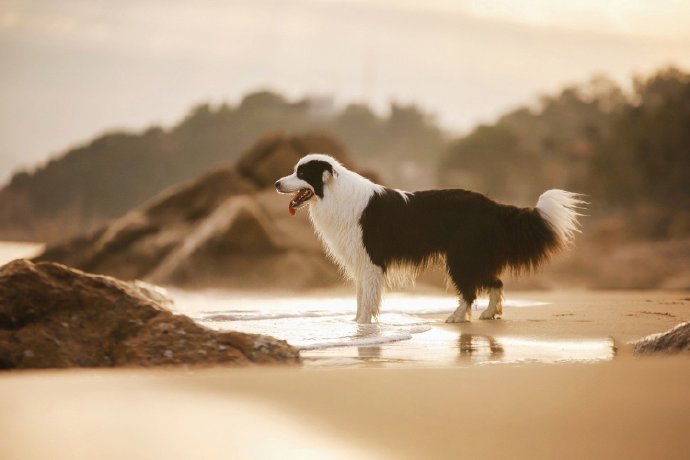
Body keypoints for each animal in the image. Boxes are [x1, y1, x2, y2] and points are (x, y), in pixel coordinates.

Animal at [274, 155, 580, 324]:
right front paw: (356, 323)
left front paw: (362, 326)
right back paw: (489, 313)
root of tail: (492, 205)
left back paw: (457, 317)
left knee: (471, 290)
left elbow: (368, 299)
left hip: (460, 257)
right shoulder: (361, 263)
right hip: (471, 257)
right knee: (496, 281)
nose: (276, 183)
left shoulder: (371, 261)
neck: (334, 192)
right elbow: (361, 298)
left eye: (301, 173)